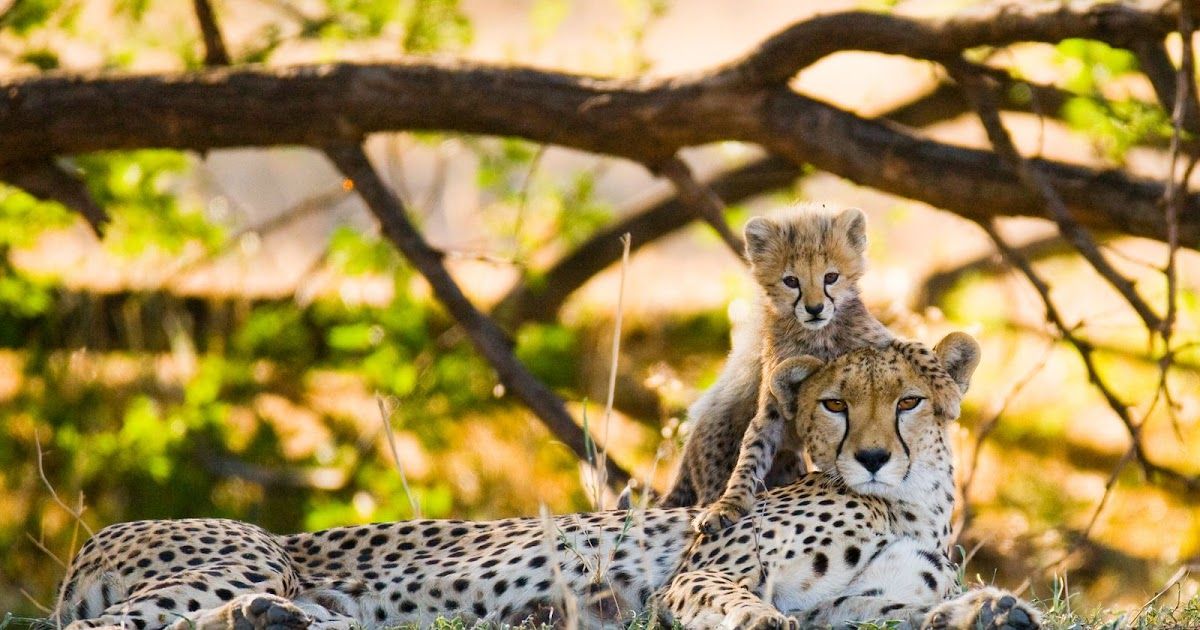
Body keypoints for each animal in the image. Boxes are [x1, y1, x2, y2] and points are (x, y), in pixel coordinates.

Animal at [51, 331, 1036, 624]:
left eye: (907, 402)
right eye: (834, 404)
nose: (870, 455)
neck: (906, 507)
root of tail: (95, 537)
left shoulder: (860, 606)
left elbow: (902, 613)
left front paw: (990, 609)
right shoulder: (705, 571)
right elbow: (740, 608)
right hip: (247, 556)